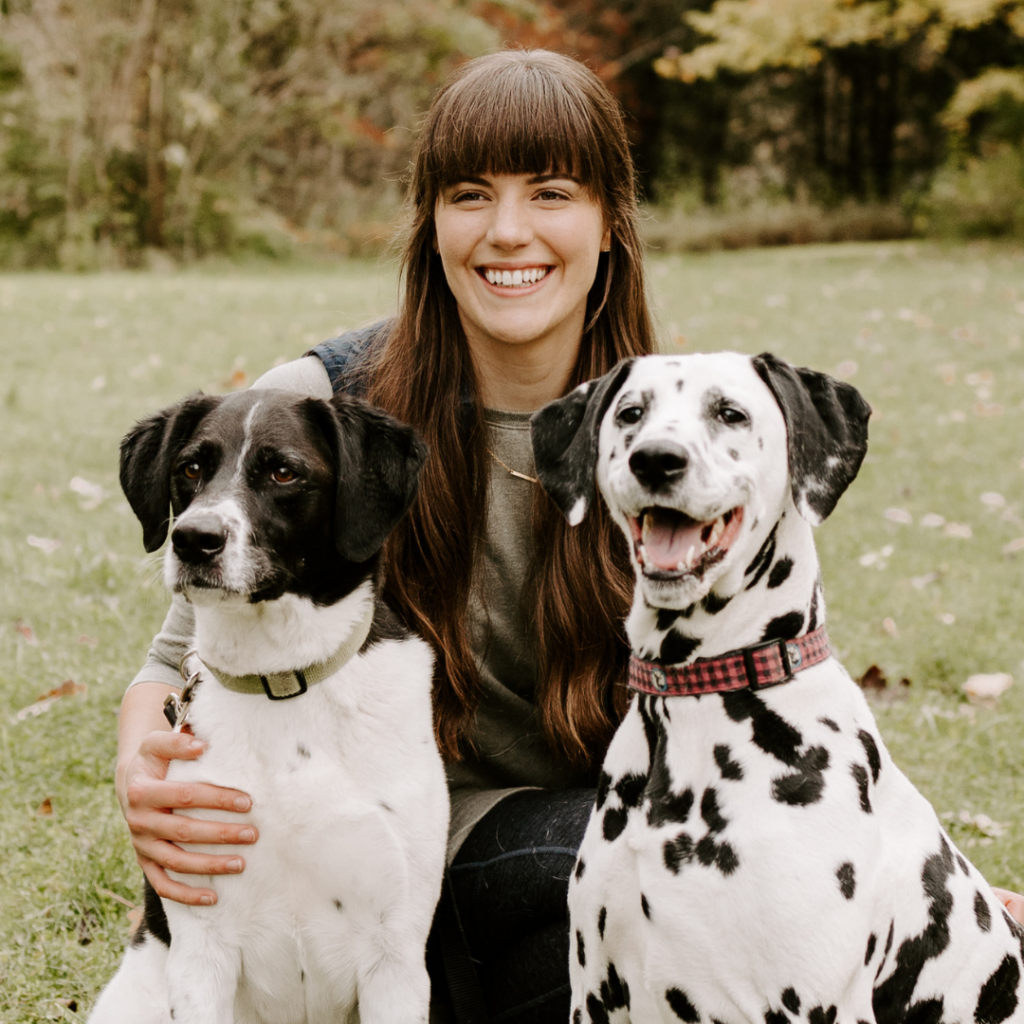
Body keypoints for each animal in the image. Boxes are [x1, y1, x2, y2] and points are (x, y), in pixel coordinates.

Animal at [91, 389, 448, 1024]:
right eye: (191, 468)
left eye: (284, 472)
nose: (193, 539)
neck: (279, 679)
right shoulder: (201, 949)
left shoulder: (397, 956)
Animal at [528, 354, 1024, 1024]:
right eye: (632, 412)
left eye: (730, 412)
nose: (656, 459)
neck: (699, 696)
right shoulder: (596, 995)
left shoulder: (813, 1004)